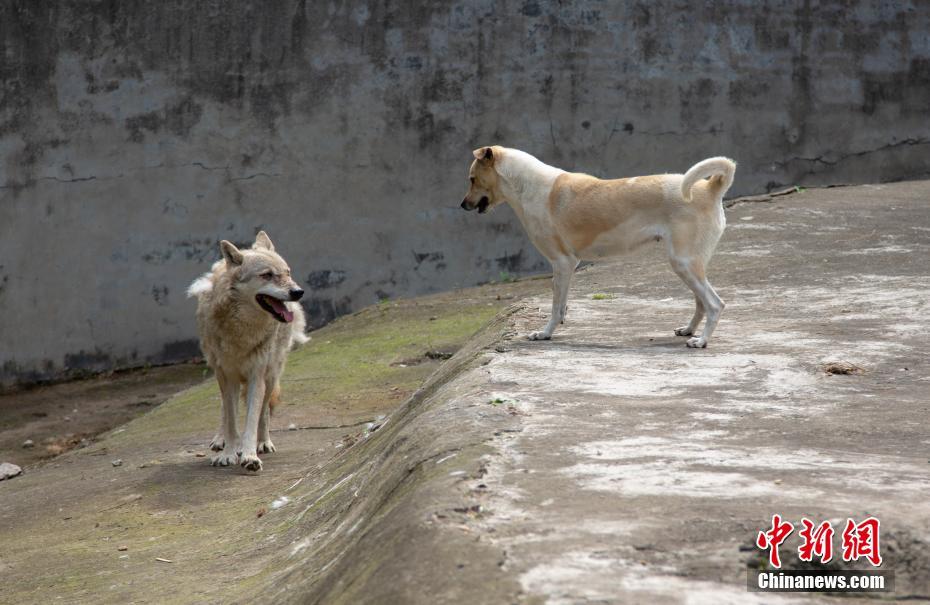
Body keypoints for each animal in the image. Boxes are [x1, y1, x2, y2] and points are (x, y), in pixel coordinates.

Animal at [186, 231, 308, 472]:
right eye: (267, 275)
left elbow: (252, 420)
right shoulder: (228, 377)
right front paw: (228, 453)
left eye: (287, 272)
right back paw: (220, 440)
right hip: (219, 373)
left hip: (271, 376)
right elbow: (231, 419)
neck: (242, 331)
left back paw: (264, 442)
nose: (298, 292)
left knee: (264, 413)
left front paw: (250, 455)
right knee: (224, 409)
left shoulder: (256, 377)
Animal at [460, 146, 736, 346]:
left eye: (472, 179)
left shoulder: (562, 262)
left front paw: (545, 334)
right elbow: (562, 304)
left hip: (684, 264)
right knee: (701, 303)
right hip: (690, 265)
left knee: (714, 304)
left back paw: (701, 341)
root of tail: (710, 188)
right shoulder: (567, 267)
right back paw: (689, 330)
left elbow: (555, 306)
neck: (528, 187)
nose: (462, 205)